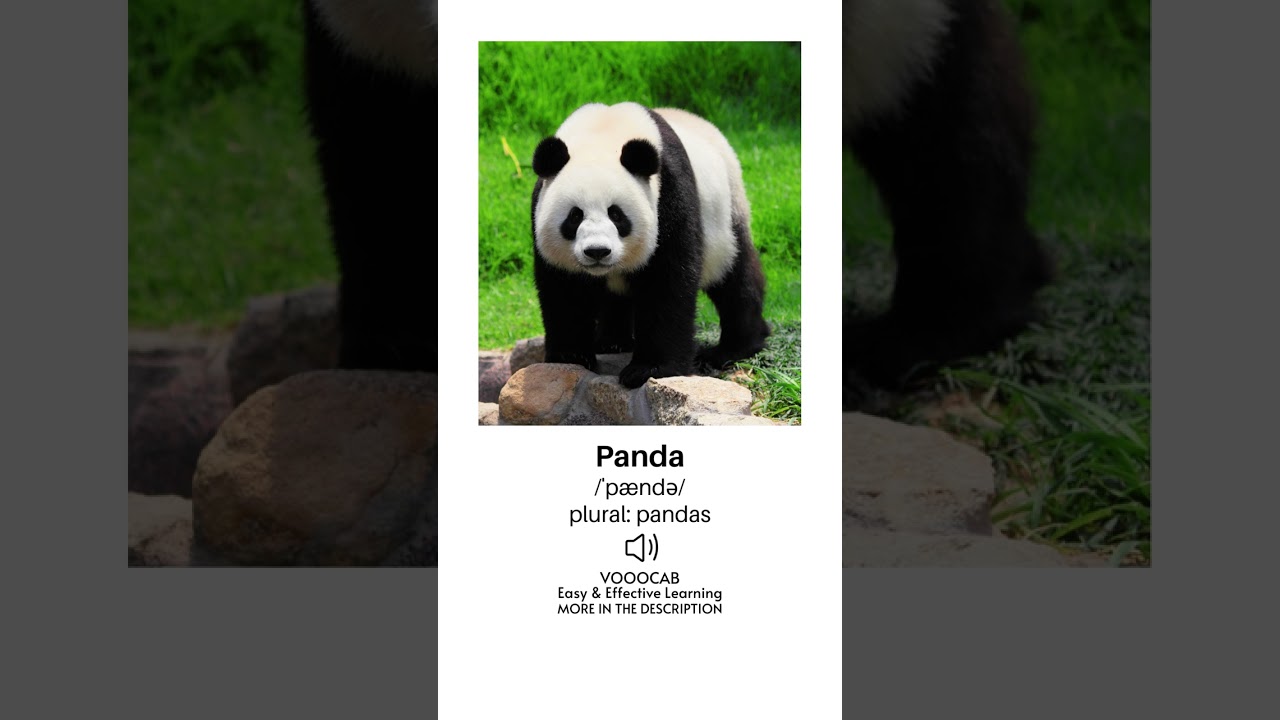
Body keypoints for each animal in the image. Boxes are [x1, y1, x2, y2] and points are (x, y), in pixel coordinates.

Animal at [529, 102, 771, 390]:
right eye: (575, 216)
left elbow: (667, 281)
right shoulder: (540, 209)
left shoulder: (669, 194)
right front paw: (571, 356)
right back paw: (612, 341)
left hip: (726, 216)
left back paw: (733, 348)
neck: (603, 133)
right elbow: (565, 289)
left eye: (616, 214)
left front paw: (648, 369)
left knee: (736, 278)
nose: (597, 251)